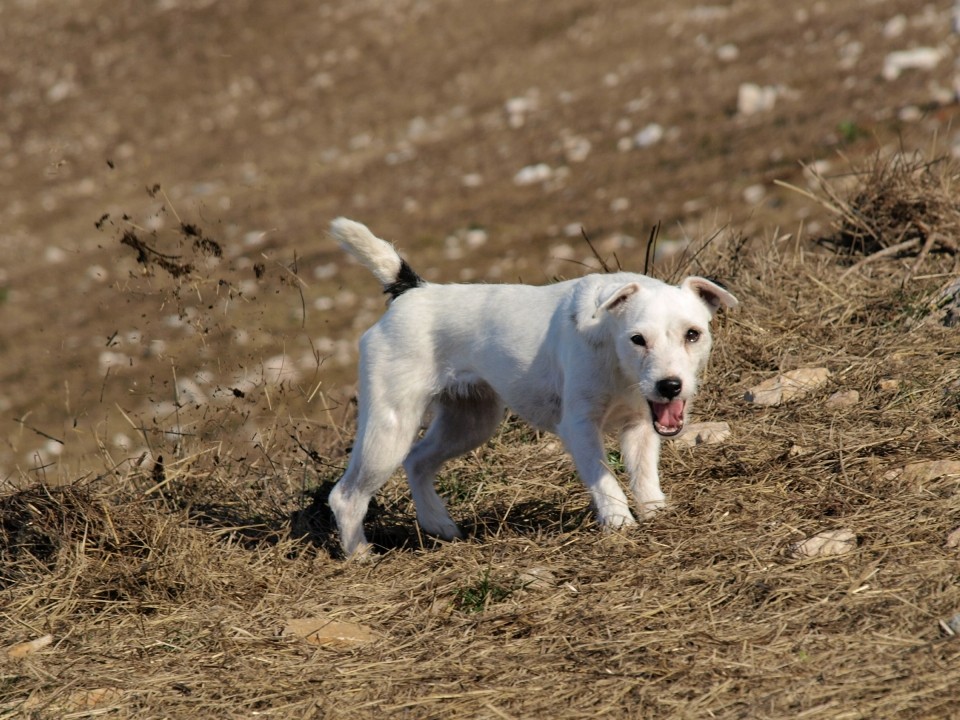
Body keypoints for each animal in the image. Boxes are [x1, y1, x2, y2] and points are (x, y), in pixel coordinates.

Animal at [326, 219, 740, 556]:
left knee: (417, 461)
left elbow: (643, 476)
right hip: (389, 430)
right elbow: (605, 479)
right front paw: (618, 522)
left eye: (693, 334)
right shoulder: (580, 427)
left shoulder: (641, 425)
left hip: (470, 423)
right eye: (638, 339)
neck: (611, 346)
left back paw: (439, 525)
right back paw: (359, 555)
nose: (669, 386)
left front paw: (655, 513)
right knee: (346, 496)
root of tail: (411, 291)